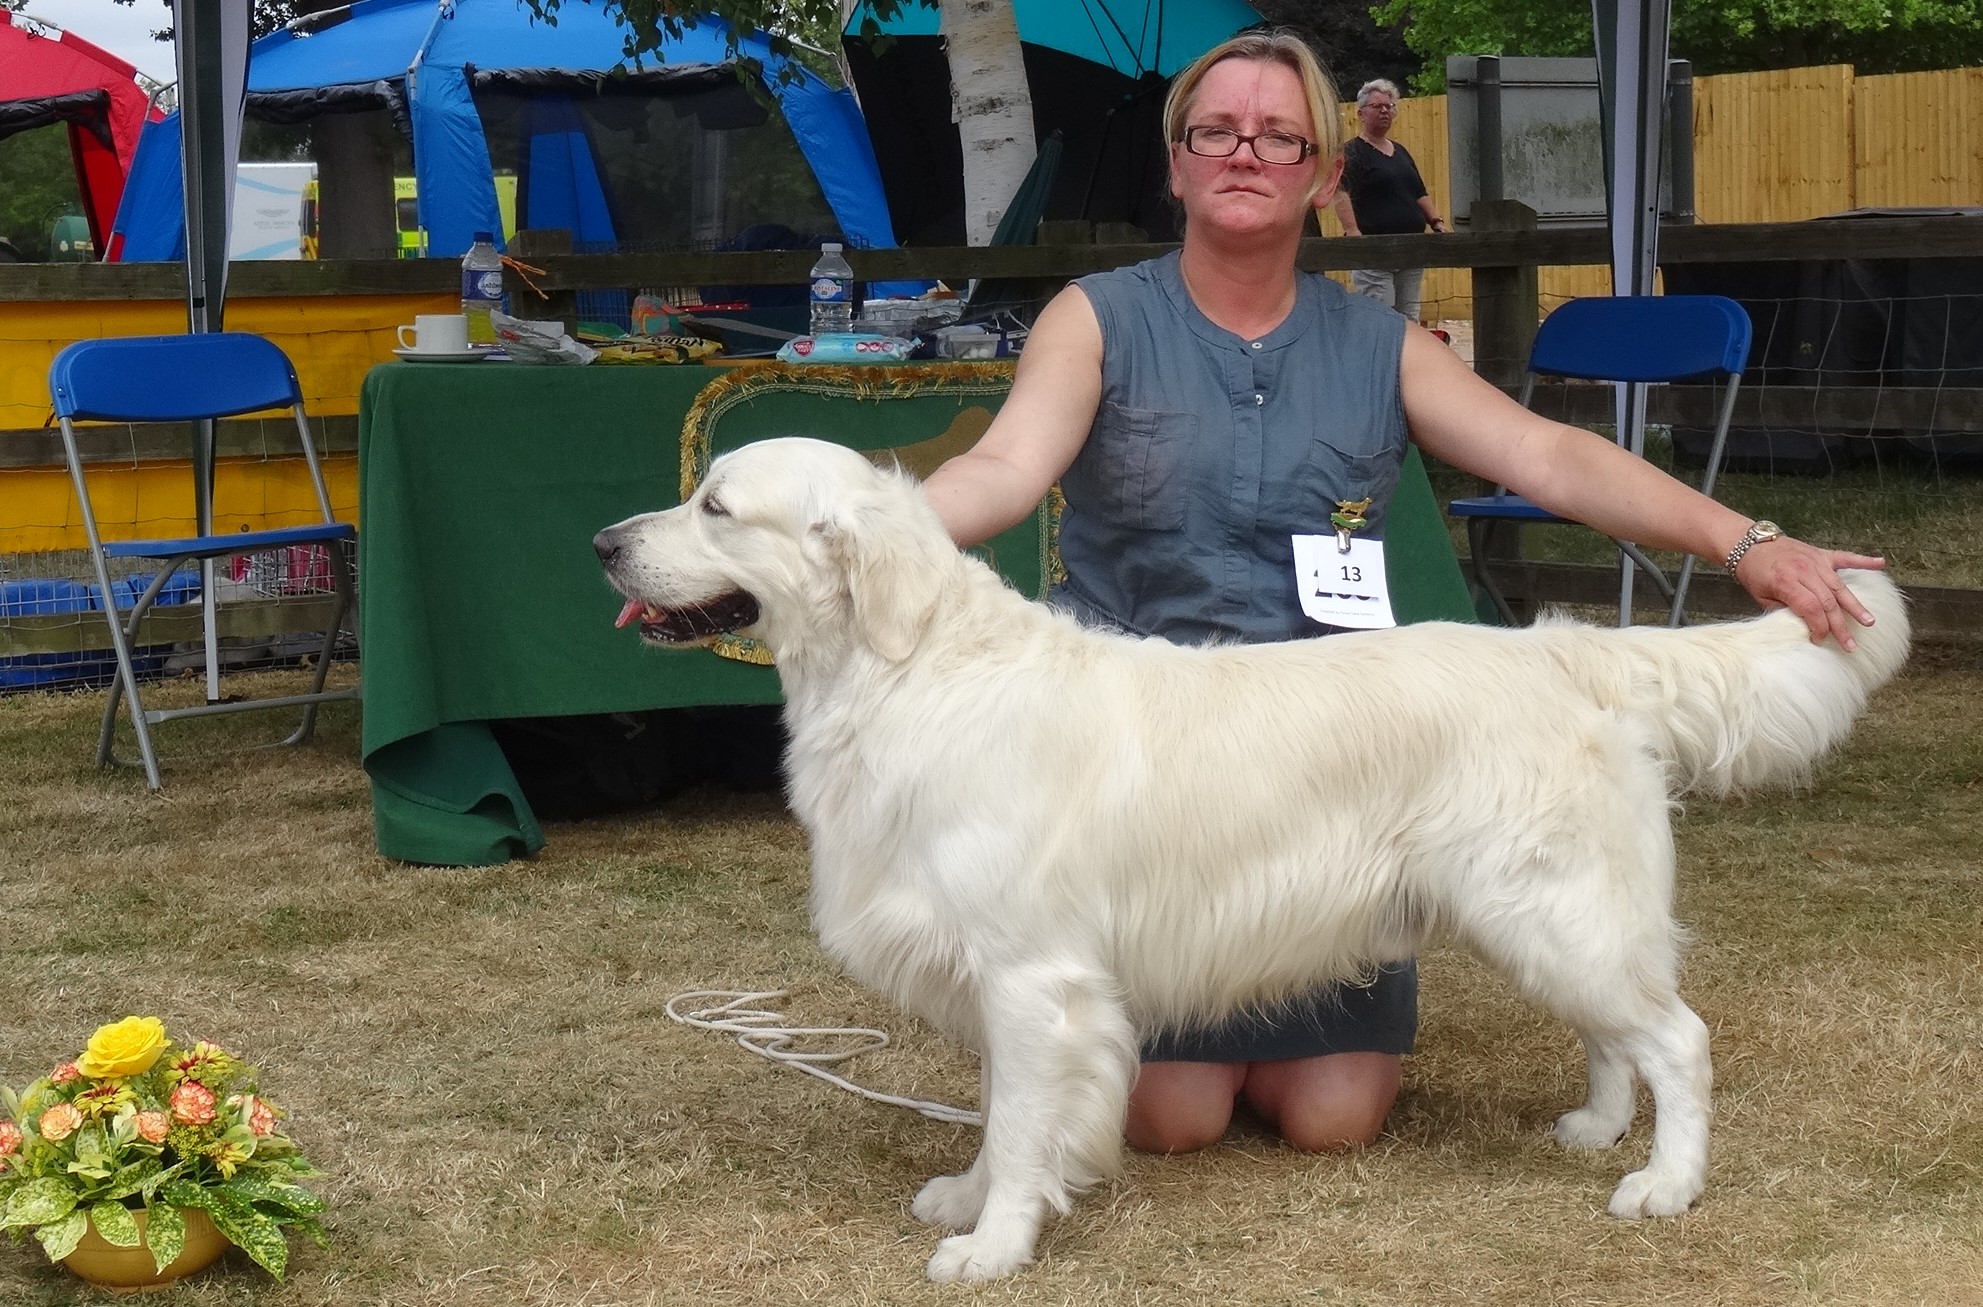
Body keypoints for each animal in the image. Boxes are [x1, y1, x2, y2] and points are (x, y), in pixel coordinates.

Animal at [594, 437, 1909, 1281]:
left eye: (715, 505)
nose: (603, 540)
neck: (902, 670)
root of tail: (1568, 648)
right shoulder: (1001, 977)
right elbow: (998, 1109)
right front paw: (968, 1197)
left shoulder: (1035, 977)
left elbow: (1022, 1123)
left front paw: (993, 1242)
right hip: (1545, 913)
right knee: (1617, 1031)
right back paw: (1597, 1124)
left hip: (1551, 905)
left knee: (1677, 1037)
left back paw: (1664, 1183)